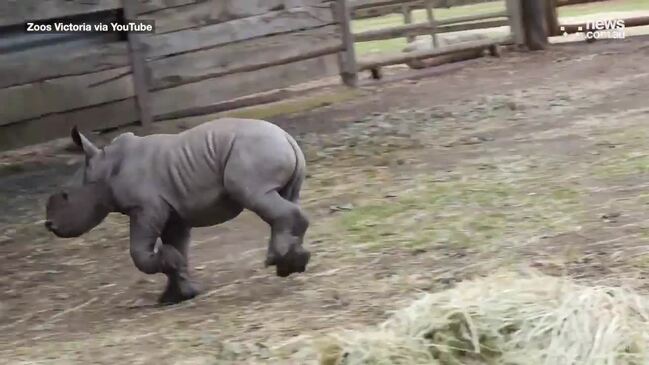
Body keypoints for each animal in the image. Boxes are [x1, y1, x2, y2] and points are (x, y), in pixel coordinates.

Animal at [44, 118, 310, 304]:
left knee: (257, 196)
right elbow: (178, 246)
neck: (105, 167)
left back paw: (278, 260)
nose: (49, 225)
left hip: (252, 155)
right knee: (288, 198)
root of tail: (287, 138)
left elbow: (138, 252)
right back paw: (291, 264)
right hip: (270, 154)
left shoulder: (146, 207)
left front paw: (170, 266)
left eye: (65, 196)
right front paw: (176, 294)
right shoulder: (173, 213)